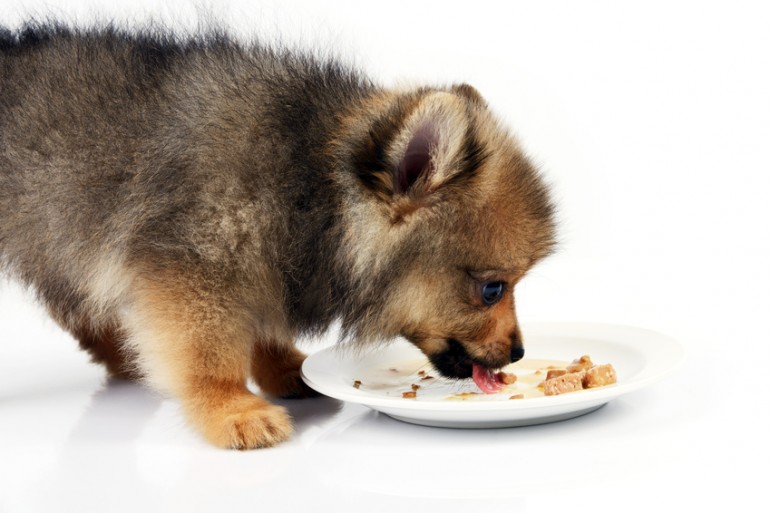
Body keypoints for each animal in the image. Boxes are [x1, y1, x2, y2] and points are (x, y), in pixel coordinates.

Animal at [0, 24, 552, 448]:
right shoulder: (197, 266)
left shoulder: (267, 258)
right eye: (492, 289)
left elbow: (264, 323)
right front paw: (231, 409)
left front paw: (282, 368)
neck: (310, 184)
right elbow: (208, 349)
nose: (519, 353)